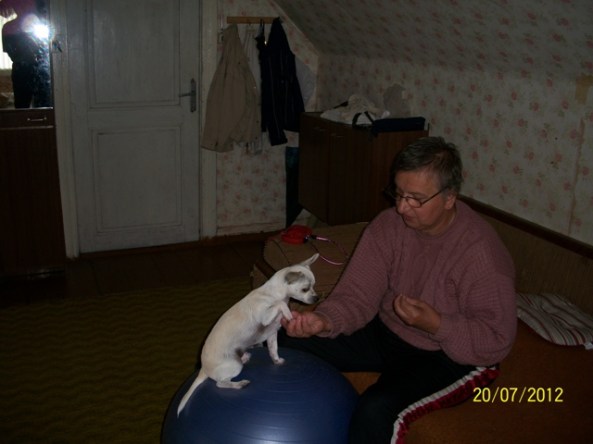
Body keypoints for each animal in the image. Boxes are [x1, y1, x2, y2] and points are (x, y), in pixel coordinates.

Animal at [177, 253, 319, 415]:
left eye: (314, 286)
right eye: (305, 289)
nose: (317, 298)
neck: (273, 294)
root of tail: (203, 369)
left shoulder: (271, 334)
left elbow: (273, 350)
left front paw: (277, 360)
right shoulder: (265, 316)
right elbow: (280, 304)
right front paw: (289, 314)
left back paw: (245, 357)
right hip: (234, 365)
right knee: (220, 383)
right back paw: (239, 384)